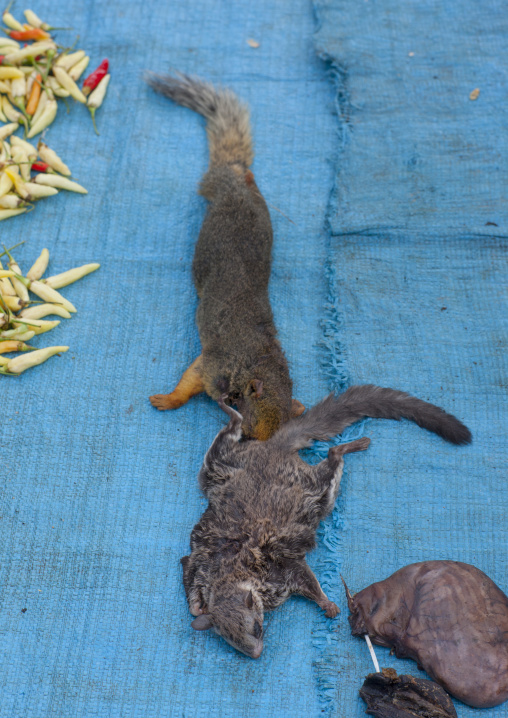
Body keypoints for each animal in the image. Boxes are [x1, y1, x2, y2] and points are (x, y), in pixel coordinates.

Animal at [146, 73, 305, 440]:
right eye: (252, 426)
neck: (252, 365)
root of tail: (235, 178)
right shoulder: (214, 364)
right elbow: (189, 379)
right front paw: (168, 400)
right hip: (214, 197)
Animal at [180, 385, 471, 658]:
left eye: (257, 628)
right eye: (233, 643)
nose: (256, 654)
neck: (232, 572)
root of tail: (275, 448)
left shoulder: (279, 568)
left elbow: (305, 577)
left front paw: (326, 603)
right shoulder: (201, 565)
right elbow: (189, 576)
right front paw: (197, 607)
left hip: (313, 489)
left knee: (331, 456)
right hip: (220, 466)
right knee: (229, 437)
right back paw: (232, 414)